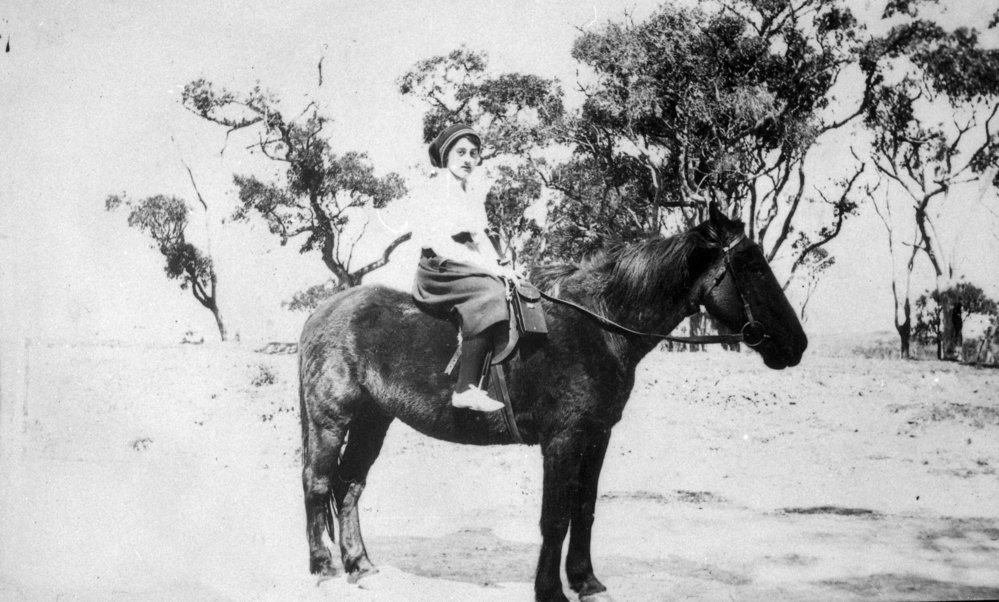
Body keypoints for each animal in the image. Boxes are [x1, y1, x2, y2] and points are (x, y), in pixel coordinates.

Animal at [298, 203, 807, 602]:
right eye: (754, 266)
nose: (797, 345)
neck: (599, 325)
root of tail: (324, 311)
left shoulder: (596, 437)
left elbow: (584, 510)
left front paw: (586, 582)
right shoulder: (562, 440)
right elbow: (556, 517)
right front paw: (550, 591)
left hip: (374, 420)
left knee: (350, 485)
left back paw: (360, 565)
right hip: (331, 420)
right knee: (318, 484)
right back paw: (324, 568)